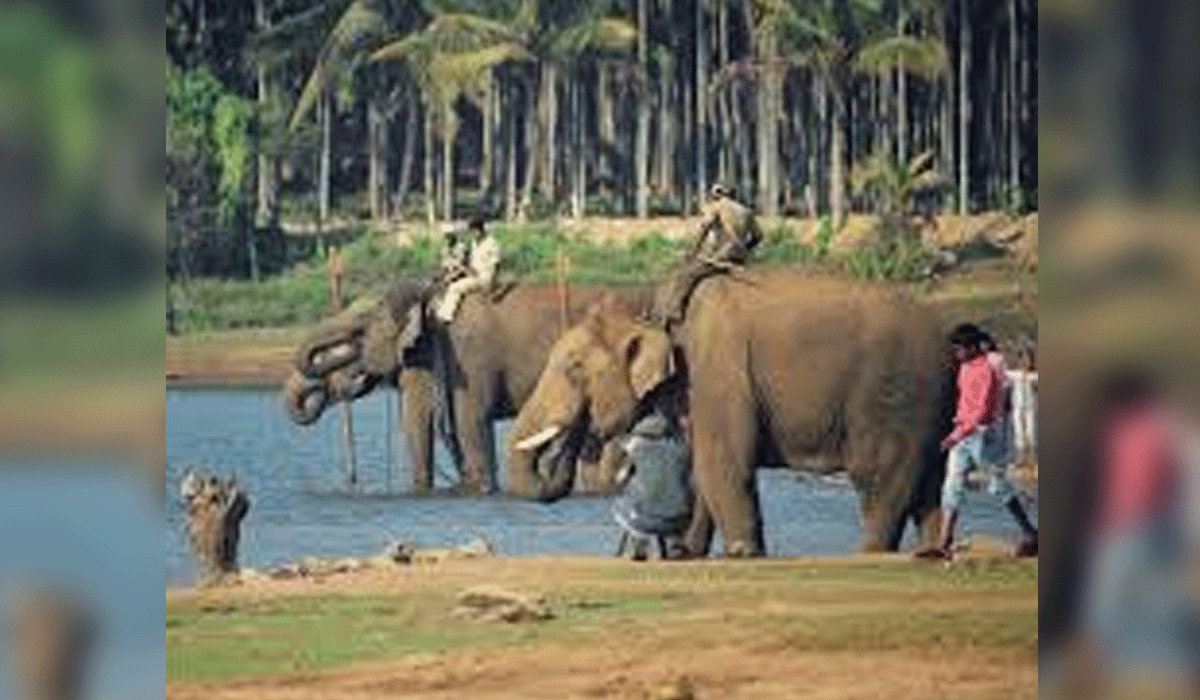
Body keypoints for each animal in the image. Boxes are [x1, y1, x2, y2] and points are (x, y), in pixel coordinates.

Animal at [284, 280, 654, 494]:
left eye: (357, 335)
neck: (428, 299)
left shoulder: (464, 357)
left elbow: (463, 420)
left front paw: (478, 491)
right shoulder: (425, 360)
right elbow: (421, 422)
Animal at [506, 270, 956, 555]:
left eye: (574, 368)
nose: (575, 436)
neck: (653, 311)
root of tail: (946, 340)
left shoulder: (715, 373)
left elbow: (721, 463)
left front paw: (742, 553)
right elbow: (695, 468)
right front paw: (686, 552)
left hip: (896, 397)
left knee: (880, 481)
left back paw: (872, 552)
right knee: (930, 487)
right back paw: (932, 552)